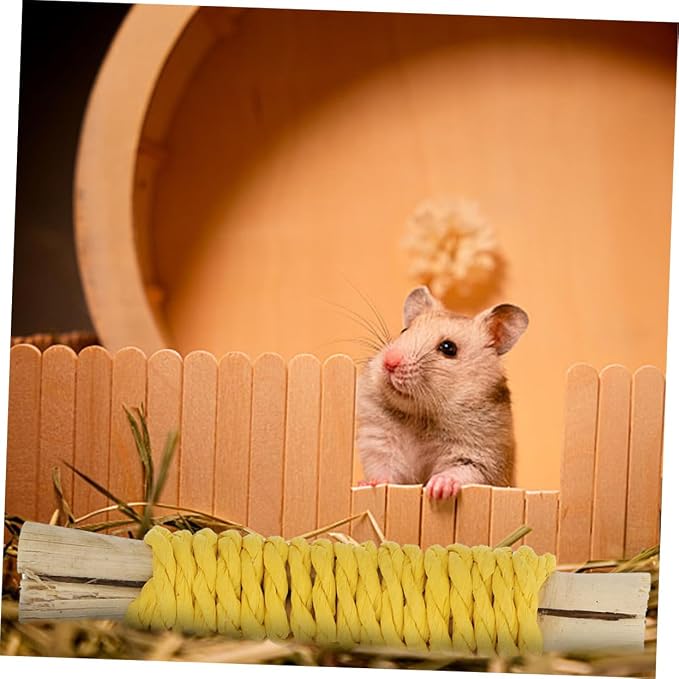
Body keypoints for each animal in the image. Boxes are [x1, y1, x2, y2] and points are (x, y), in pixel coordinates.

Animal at [356, 286, 528, 500]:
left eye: (448, 348)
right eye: (404, 331)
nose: (389, 361)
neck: (419, 415)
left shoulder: (480, 457)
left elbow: (459, 472)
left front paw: (437, 488)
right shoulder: (379, 443)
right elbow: (384, 470)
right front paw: (368, 483)